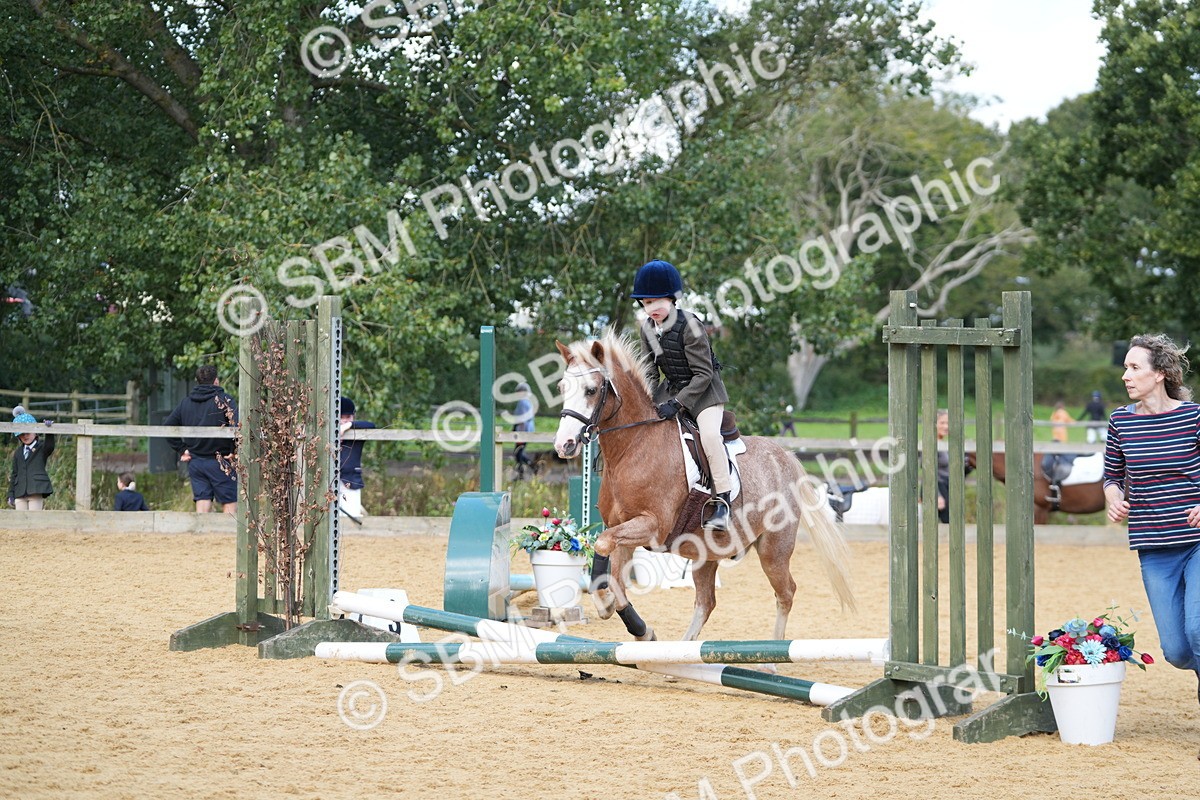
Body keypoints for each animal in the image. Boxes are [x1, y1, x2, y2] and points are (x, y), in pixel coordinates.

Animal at [552, 331, 857, 643]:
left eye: (591, 390)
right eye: (562, 387)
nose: (564, 445)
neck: (633, 446)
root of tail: (785, 458)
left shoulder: (652, 524)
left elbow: (603, 550)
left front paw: (609, 606)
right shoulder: (620, 527)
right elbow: (614, 579)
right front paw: (639, 629)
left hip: (774, 549)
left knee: (786, 593)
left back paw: (771, 652)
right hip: (706, 552)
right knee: (706, 602)